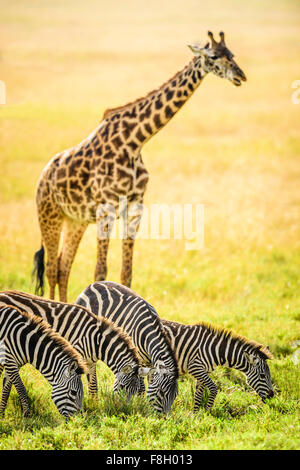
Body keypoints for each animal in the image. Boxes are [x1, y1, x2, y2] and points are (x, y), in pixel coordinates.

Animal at [0, 292, 150, 398]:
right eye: (123, 387)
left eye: (136, 391)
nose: (124, 408)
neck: (95, 339)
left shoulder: (90, 362)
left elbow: (93, 386)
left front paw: (94, 406)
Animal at [33, 31, 246, 302]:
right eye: (214, 57)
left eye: (232, 54)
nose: (241, 76)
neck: (134, 142)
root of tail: (43, 177)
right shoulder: (106, 208)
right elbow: (100, 271)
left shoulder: (134, 208)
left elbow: (127, 272)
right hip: (49, 216)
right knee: (51, 269)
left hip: (75, 221)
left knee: (63, 267)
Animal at [75, 280, 178, 414]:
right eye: (162, 392)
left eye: (175, 396)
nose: (163, 417)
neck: (147, 332)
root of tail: (93, 284)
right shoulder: (139, 360)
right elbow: (141, 387)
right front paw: (140, 404)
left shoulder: (150, 363)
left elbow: (150, 382)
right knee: (91, 372)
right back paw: (94, 402)